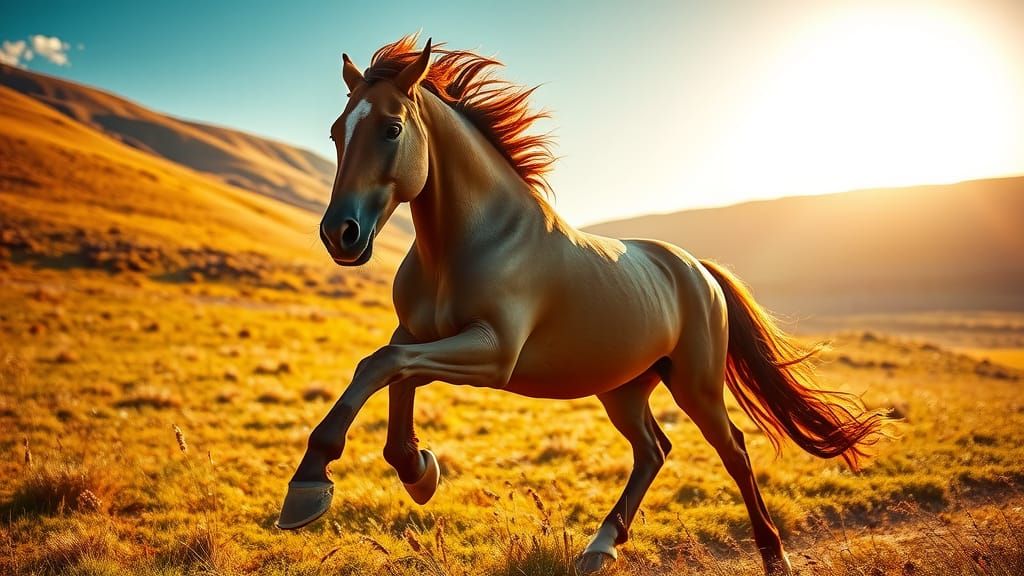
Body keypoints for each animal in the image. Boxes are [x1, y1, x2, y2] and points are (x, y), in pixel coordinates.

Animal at [277, 35, 890, 575]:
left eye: (391, 128)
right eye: (336, 132)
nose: (341, 234)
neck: (476, 241)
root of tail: (697, 269)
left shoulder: (494, 354)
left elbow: (382, 366)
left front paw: (311, 484)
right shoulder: (418, 333)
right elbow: (390, 371)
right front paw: (416, 471)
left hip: (694, 383)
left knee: (732, 449)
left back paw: (773, 556)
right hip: (623, 386)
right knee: (654, 450)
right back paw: (600, 547)